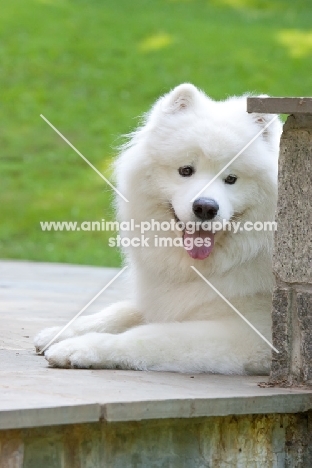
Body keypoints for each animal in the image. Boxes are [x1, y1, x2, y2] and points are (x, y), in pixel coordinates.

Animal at [35, 84, 282, 374]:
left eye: (231, 179)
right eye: (186, 170)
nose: (205, 208)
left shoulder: (250, 334)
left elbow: (149, 335)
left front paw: (80, 347)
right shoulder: (161, 299)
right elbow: (120, 311)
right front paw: (60, 331)